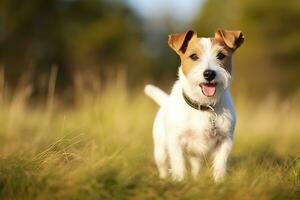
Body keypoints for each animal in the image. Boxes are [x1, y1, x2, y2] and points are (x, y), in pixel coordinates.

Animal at [144, 29, 245, 181]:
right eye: (193, 56)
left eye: (221, 55)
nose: (209, 74)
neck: (203, 105)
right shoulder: (176, 141)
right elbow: (178, 164)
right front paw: (179, 181)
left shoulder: (225, 141)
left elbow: (220, 165)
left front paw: (219, 182)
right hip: (161, 150)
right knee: (163, 166)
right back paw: (164, 178)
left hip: (196, 156)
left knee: (196, 167)